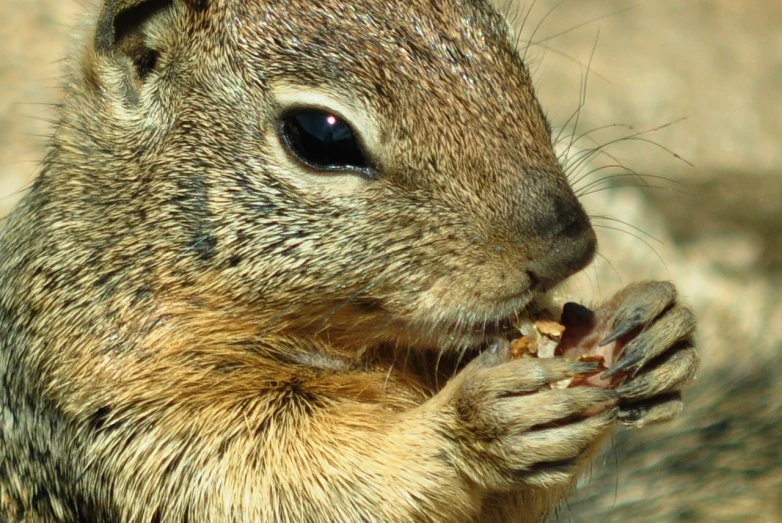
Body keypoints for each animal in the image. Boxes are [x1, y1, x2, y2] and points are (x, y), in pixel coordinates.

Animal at [0, 1, 700, 523]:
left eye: (514, 58)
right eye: (320, 135)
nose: (570, 247)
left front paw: (647, 328)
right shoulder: (125, 416)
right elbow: (291, 486)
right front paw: (472, 423)